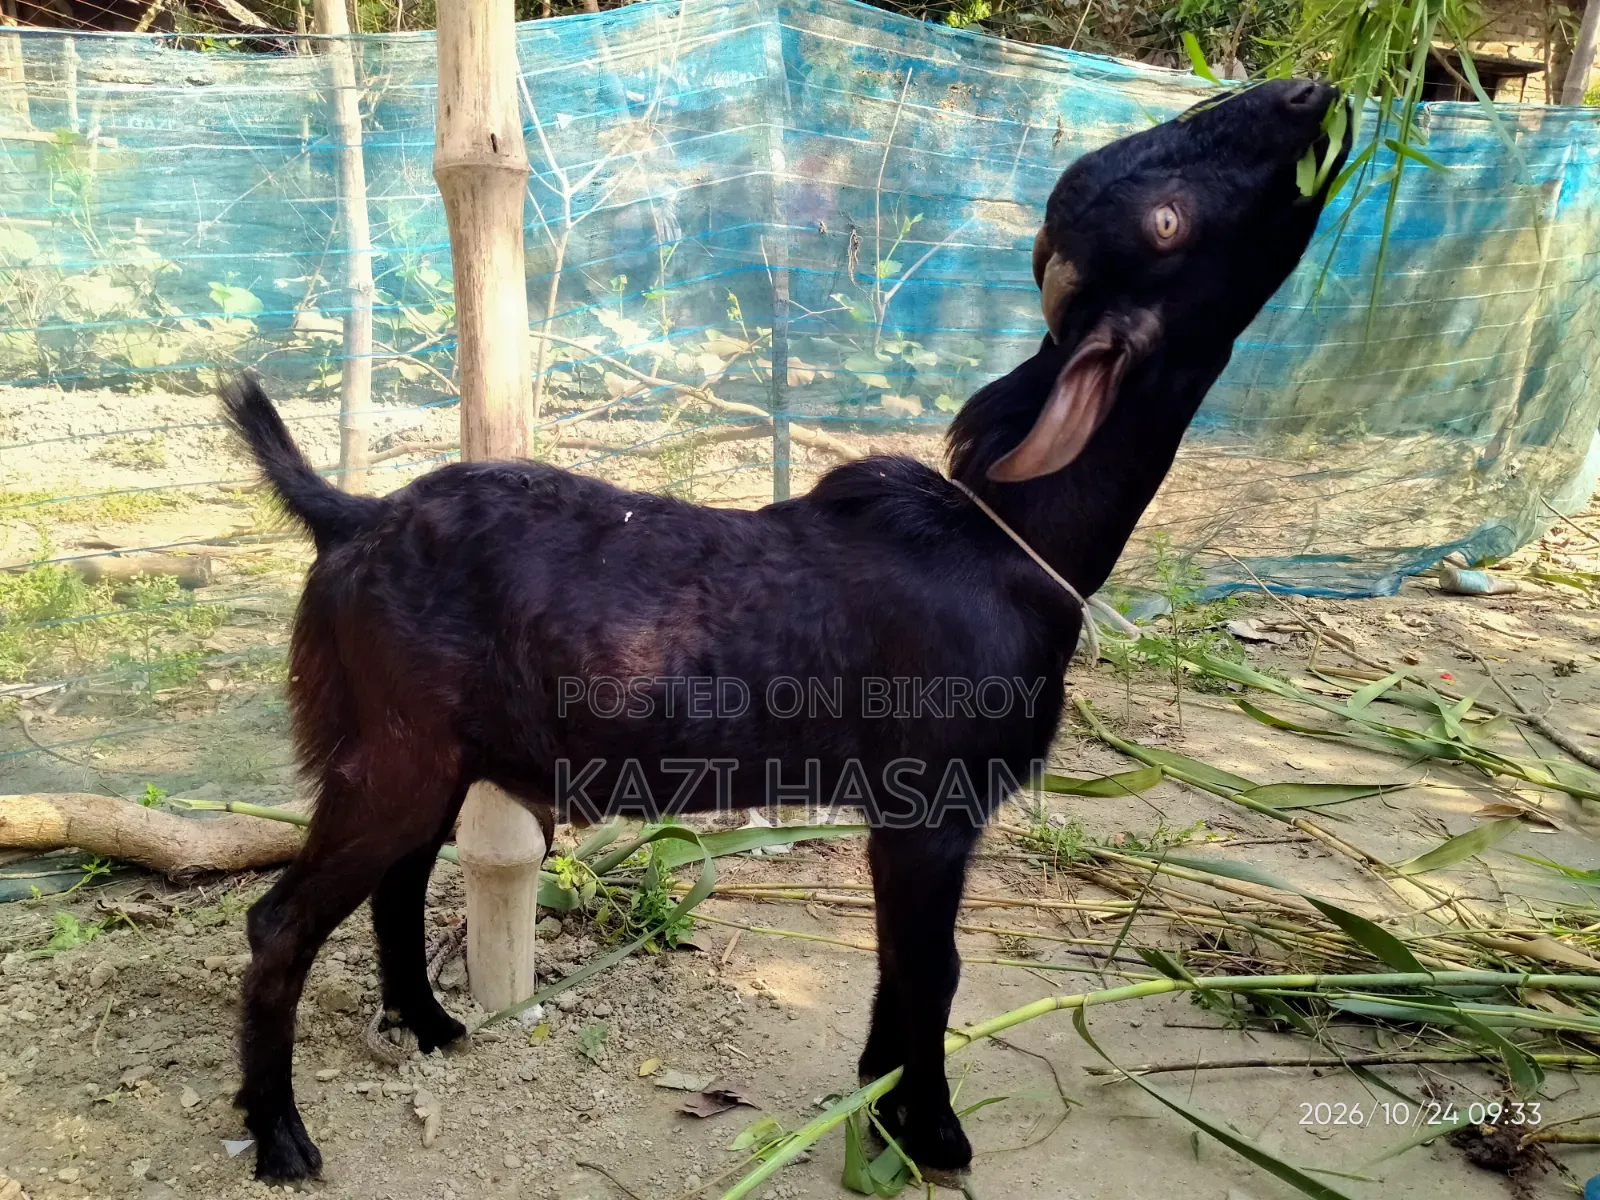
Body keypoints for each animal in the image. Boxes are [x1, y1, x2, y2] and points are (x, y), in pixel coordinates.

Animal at [223, 77, 1345, 1183]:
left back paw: (429, 1024)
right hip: (395, 751)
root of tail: (351, 515)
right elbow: (934, 969)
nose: (1309, 92)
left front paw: (879, 1109)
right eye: (1169, 221)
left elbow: (905, 966)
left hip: (434, 755)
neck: (1008, 540)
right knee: (281, 920)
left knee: (401, 878)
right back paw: (281, 1139)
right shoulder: (932, 803)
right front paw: (933, 1134)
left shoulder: (901, 817)